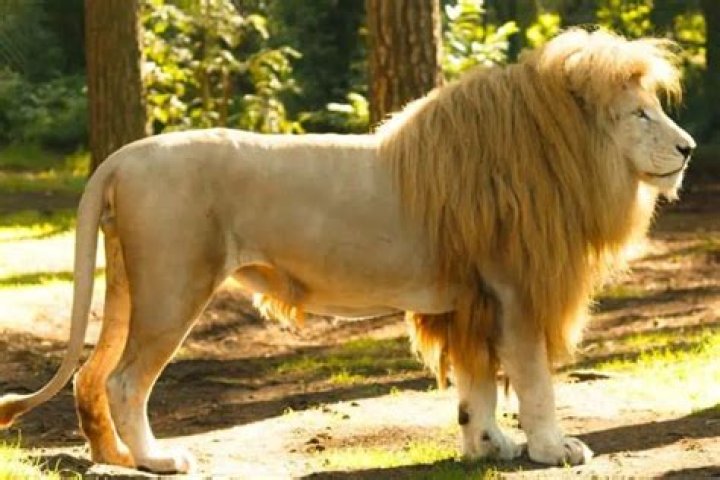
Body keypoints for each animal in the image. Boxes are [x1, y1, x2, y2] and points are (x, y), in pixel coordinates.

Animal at [0, 29, 694, 473]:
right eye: (640, 115)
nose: (689, 149)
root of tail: (122, 156)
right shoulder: (515, 290)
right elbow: (534, 379)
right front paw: (553, 450)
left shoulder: (471, 298)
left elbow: (477, 383)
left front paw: (485, 445)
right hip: (175, 285)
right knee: (124, 380)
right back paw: (155, 459)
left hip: (129, 284)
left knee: (91, 374)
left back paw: (113, 457)